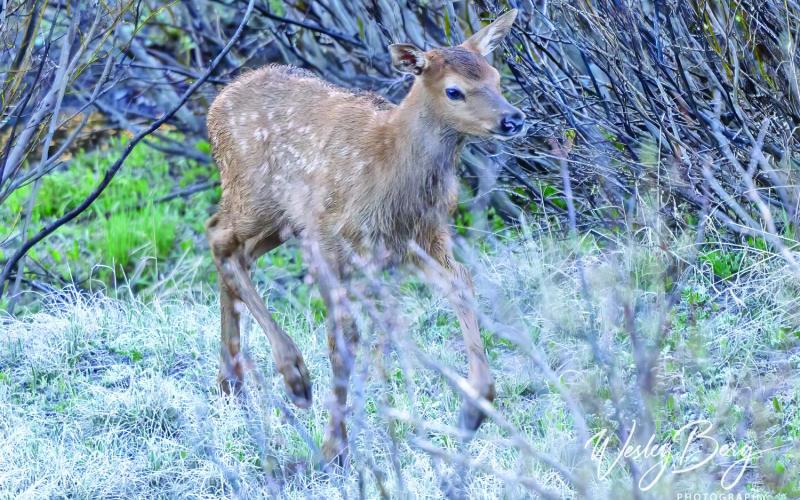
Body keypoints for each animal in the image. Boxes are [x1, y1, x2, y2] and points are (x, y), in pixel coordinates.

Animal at [205, 9, 524, 465]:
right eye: (454, 91)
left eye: (496, 77)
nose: (513, 119)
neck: (390, 171)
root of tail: (216, 103)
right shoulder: (326, 236)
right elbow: (343, 335)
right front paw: (332, 448)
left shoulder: (423, 238)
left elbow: (459, 284)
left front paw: (476, 403)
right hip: (255, 196)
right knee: (219, 238)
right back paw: (292, 377)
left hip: (279, 220)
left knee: (234, 252)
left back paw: (230, 381)